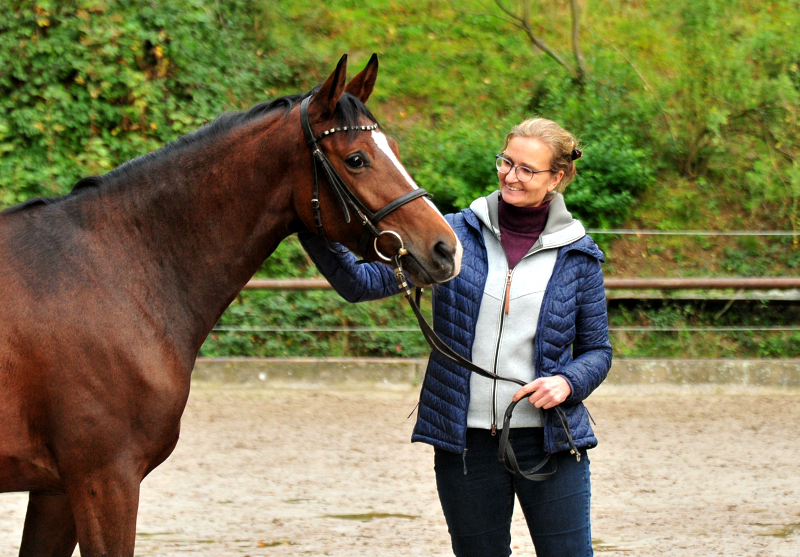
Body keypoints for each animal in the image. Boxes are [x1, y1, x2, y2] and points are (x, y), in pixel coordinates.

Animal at [0, 53, 462, 556]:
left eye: (392, 146)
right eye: (356, 159)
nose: (445, 248)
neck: (115, 269)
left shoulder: (56, 490)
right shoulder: (103, 481)